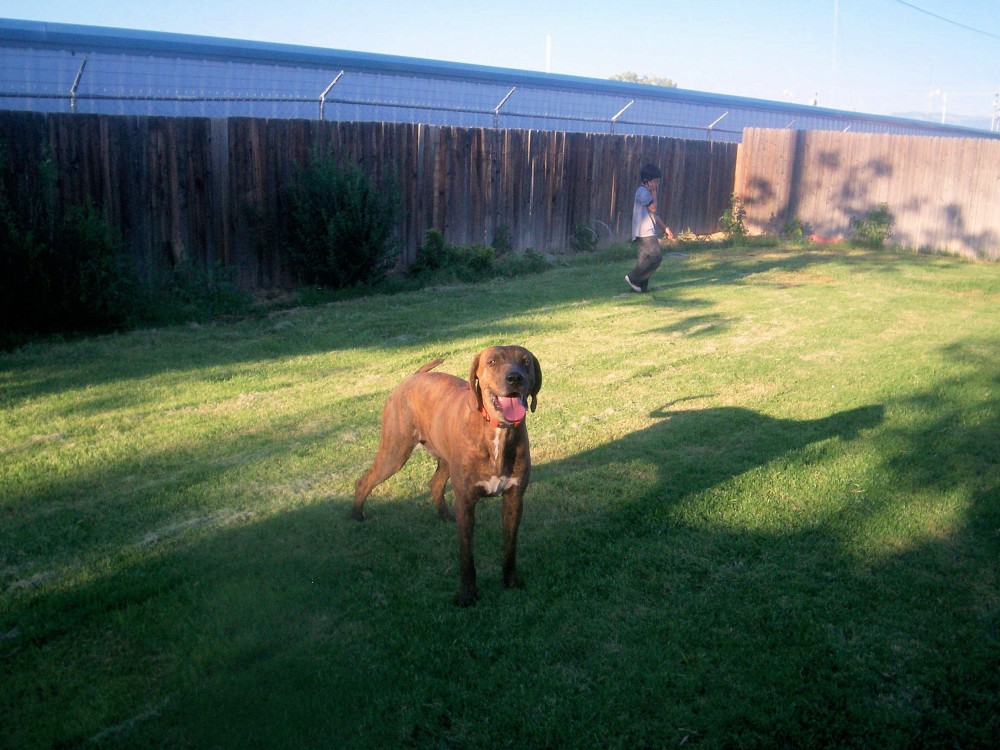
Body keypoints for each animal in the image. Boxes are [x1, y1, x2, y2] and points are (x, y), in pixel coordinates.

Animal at [353, 346, 542, 606]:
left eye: (526, 362)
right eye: (492, 361)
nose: (515, 378)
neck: (496, 430)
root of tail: (413, 376)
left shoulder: (514, 500)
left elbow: (510, 546)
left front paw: (510, 581)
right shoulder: (466, 502)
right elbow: (466, 557)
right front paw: (467, 594)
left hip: (443, 457)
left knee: (435, 483)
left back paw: (444, 515)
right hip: (395, 451)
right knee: (365, 480)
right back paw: (356, 515)